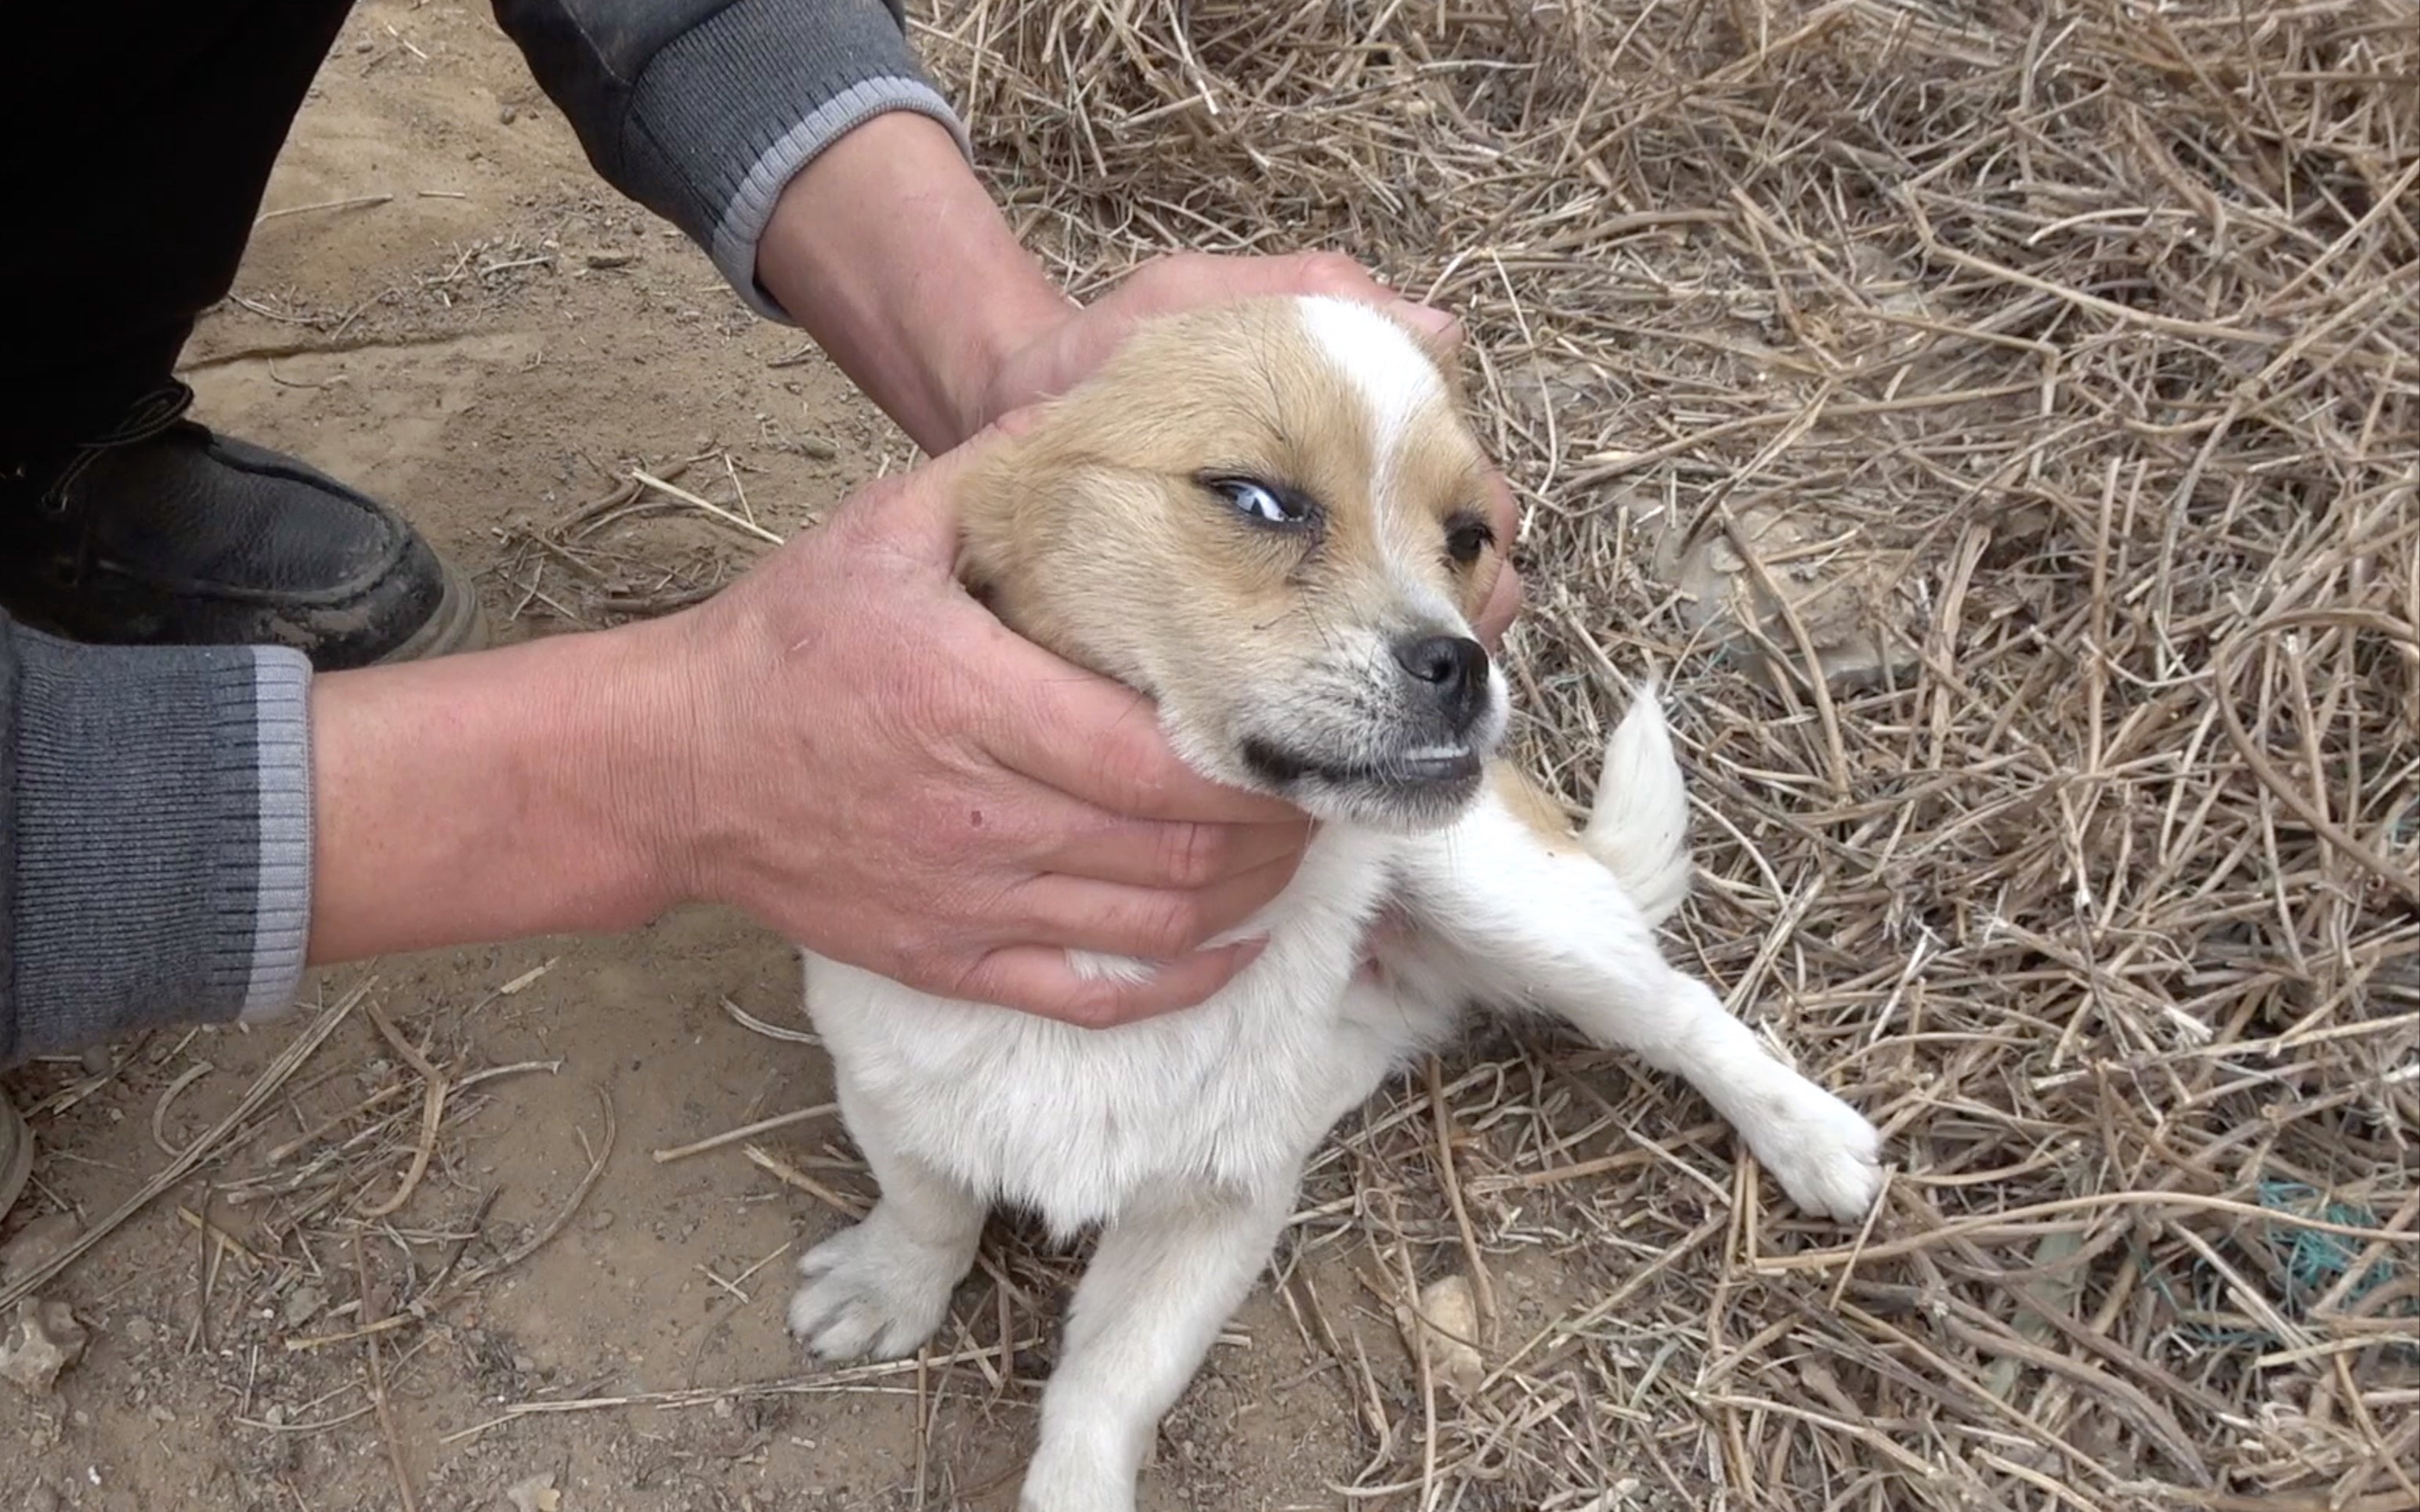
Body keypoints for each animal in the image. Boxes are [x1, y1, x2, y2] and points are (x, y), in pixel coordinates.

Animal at [783, 295, 1878, 1509]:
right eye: (1257, 500)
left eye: (1467, 536)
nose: (1465, 661)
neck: (1122, 969)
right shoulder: (887, 1090)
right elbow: (930, 1208)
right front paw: (888, 1286)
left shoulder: (1207, 1212)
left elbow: (1101, 1397)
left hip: (1504, 898)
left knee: (1679, 1008)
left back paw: (1810, 1138)